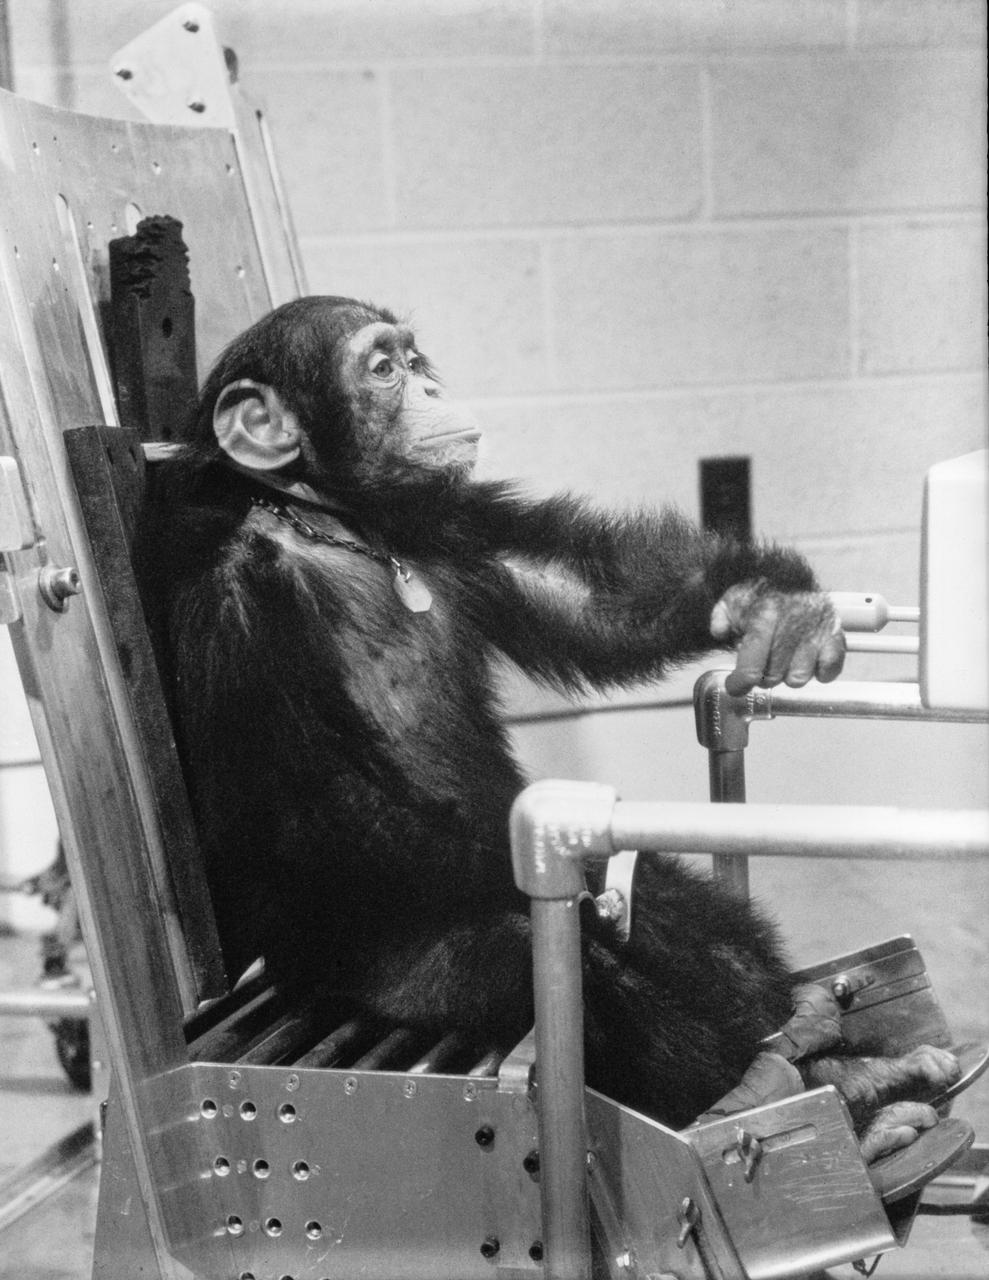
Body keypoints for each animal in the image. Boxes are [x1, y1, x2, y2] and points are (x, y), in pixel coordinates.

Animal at [137, 296, 959, 1160]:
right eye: (383, 369)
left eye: (413, 360)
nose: (430, 387)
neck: (332, 525)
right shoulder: (242, 613)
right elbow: (311, 805)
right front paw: (592, 871)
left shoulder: (451, 517)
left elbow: (583, 600)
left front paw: (770, 605)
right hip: (399, 978)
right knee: (585, 964)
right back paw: (821, 1097)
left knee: (693, 921)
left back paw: (841, 1068)